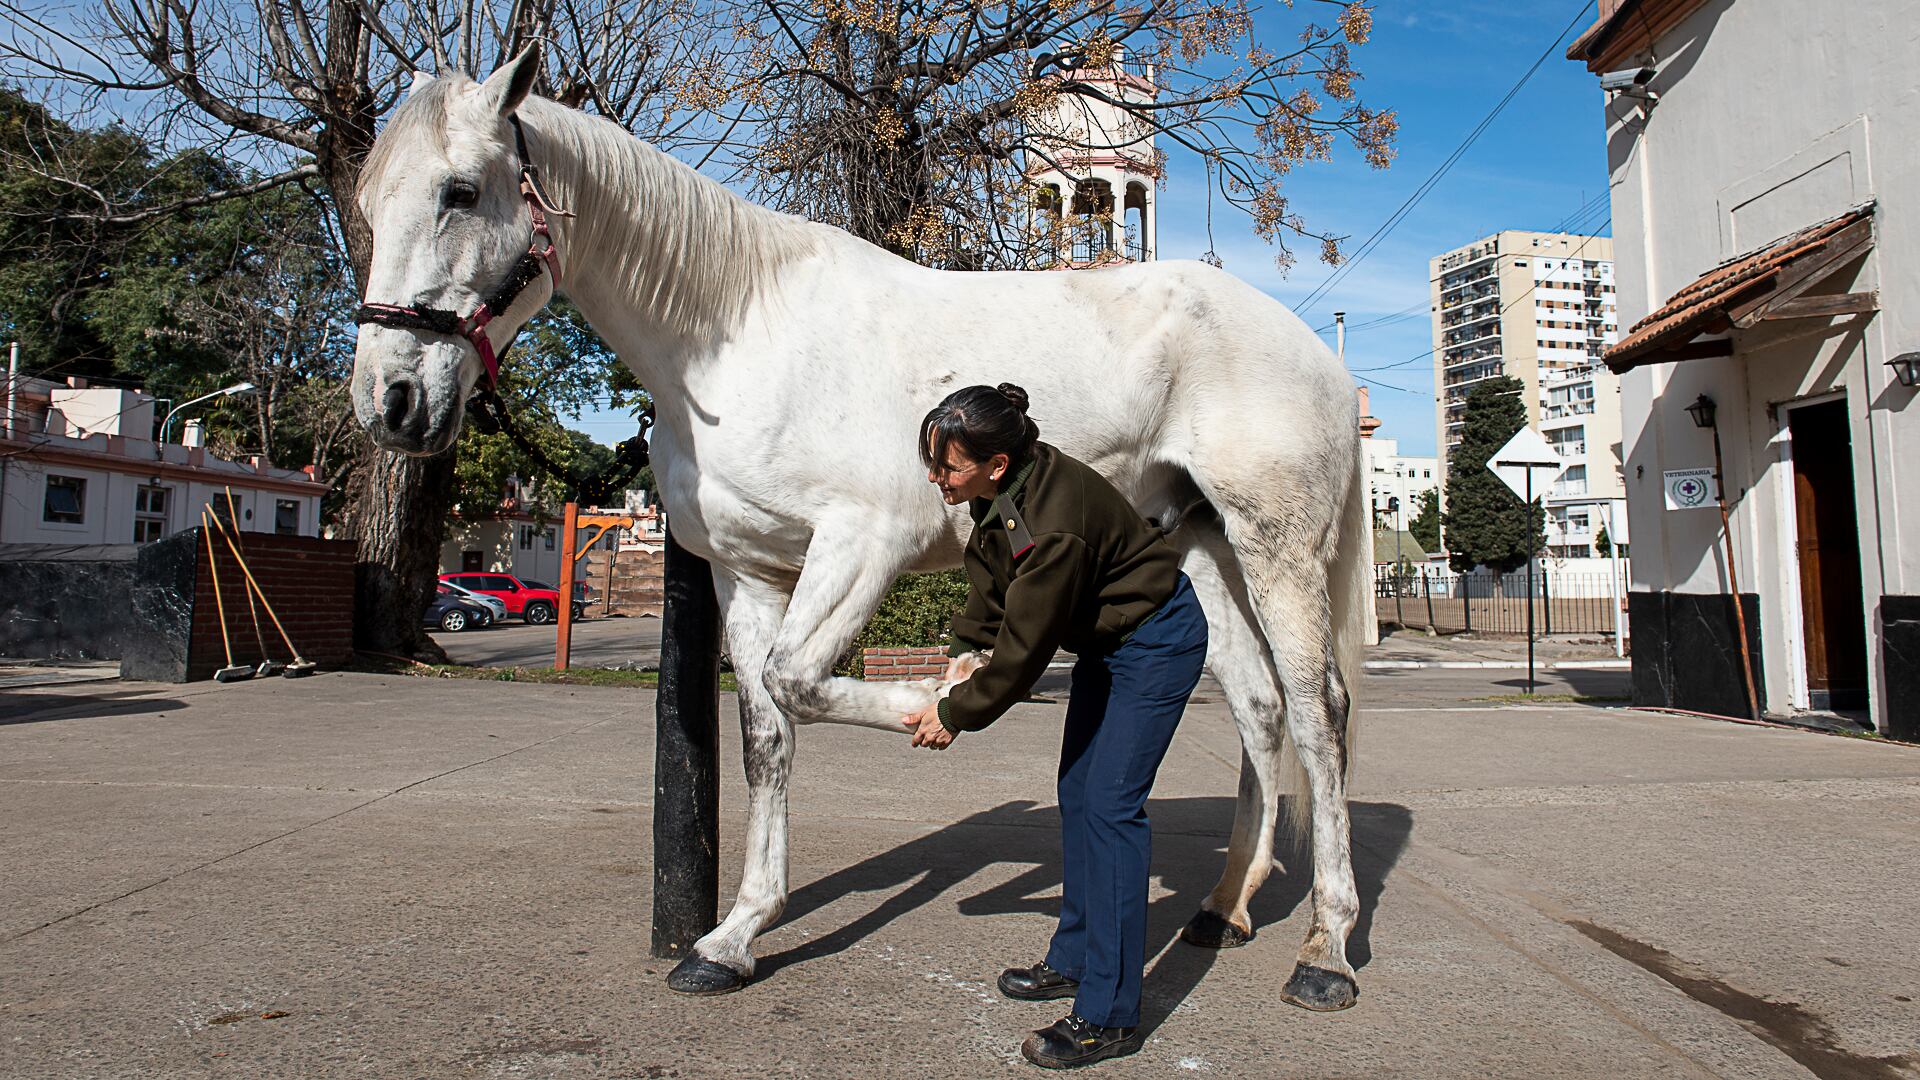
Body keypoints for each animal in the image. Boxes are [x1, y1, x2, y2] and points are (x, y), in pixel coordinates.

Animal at [353, 50, 1374, 1006]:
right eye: (367, 204)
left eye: (459, 191)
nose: (389, 402)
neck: (736, 331)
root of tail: (1317, 356)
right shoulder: (748, 574)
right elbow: (765, 733)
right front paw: (731, 939)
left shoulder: (858, 548)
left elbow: (798, 683)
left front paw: (933, 697)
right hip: (1200, 547)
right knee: (1260, 706)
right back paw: (1225, 906)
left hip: (1275, 547)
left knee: (1317, 712)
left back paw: (1326, 951)